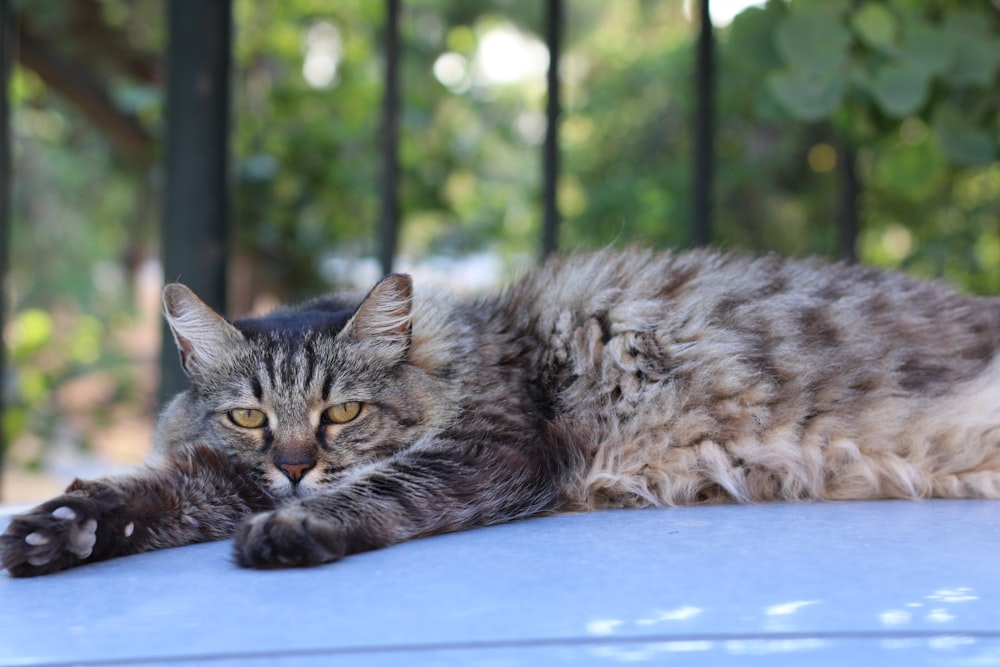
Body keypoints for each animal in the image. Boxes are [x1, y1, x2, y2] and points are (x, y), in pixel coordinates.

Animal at [1, 248, 1000, 576]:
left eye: (343, 411)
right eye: (250, 419)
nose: (293, 465)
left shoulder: (497, 449)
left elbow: (378, 489)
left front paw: (291, 531)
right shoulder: (225, 476)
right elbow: (146, 493)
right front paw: (53, 530)